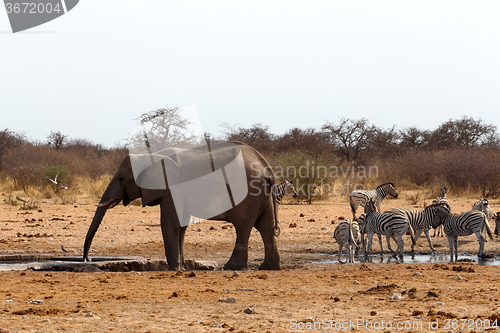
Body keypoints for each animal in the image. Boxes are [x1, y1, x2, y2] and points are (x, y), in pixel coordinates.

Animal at [84, 140, 284, 270]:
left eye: (121, 178)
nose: (88, 259)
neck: (151, 155)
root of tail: (268, 170)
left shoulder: (172, 189)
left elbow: (169, 223)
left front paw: (173, 269)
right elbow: (180, 226)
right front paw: (181, 267)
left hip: (246, 192)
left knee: (243, 227)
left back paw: (231, 267)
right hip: (261, 194)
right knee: (265, 227)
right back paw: (268, 267)